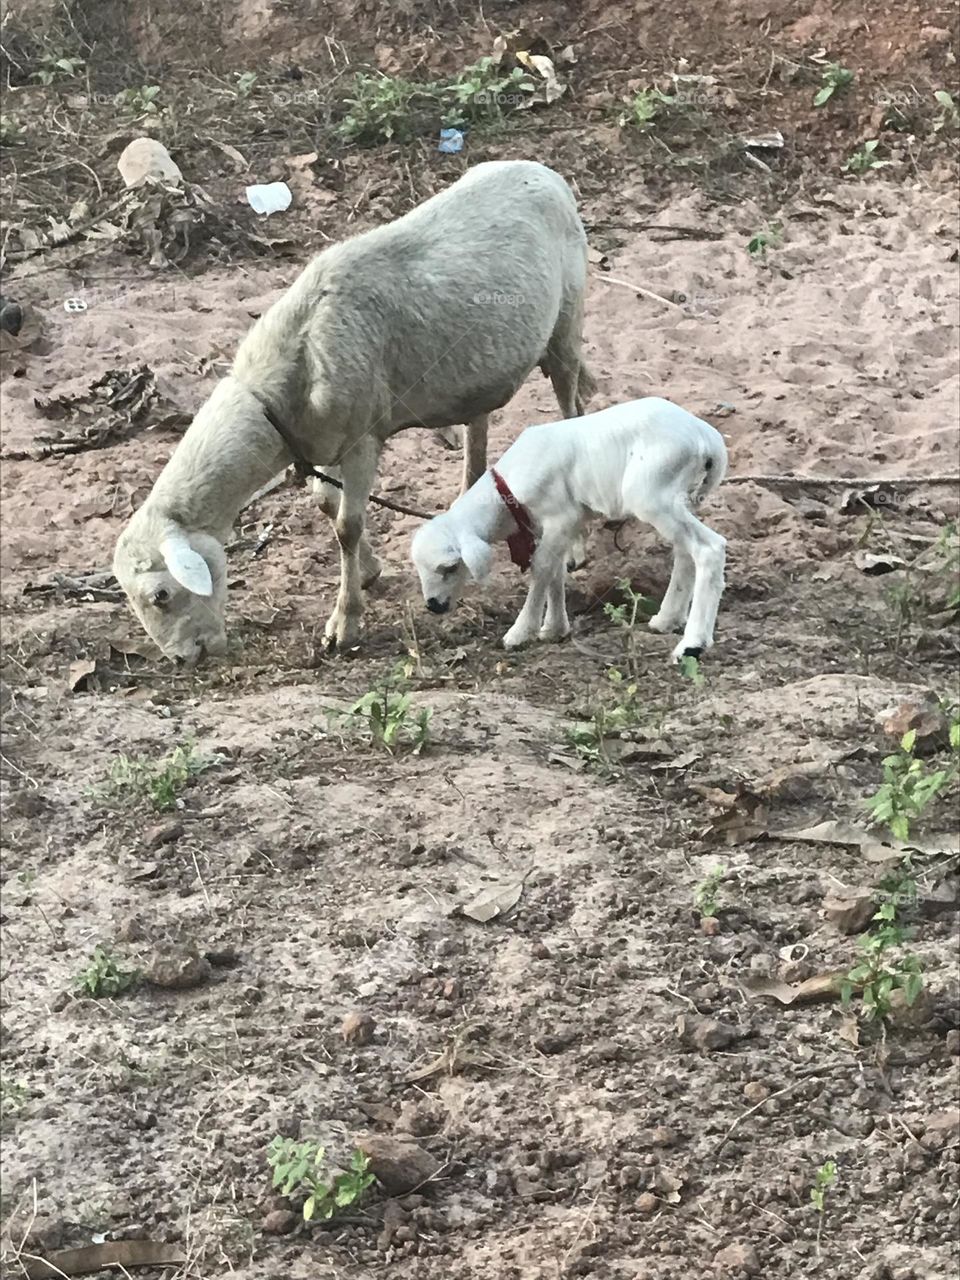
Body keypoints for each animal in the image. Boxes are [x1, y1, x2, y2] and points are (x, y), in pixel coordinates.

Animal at [112, 159, 596, 663]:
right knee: (477, 429)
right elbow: (326, 503)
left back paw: (576, 546)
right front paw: (368, 570)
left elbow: (346, 525)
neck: (281, 380)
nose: (183, 658)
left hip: (566, 327)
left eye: (161, 595)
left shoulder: (364, 437)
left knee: (572, 410)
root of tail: (543, 172)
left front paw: (344, 623)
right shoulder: (321, 440)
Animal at [410, 397, 728, 661]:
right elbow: (555, 570)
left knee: (709, 549)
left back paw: (692, 645)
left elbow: (541, 568)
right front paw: (554, 628)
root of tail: (707, 439)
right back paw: (666, 620)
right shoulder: (560, 525)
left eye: (450, 567)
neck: (505, 492)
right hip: (684, 498)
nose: (433, 606)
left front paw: (520, 632)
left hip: (651, 494)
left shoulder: (560, 517)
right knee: (686, 553)